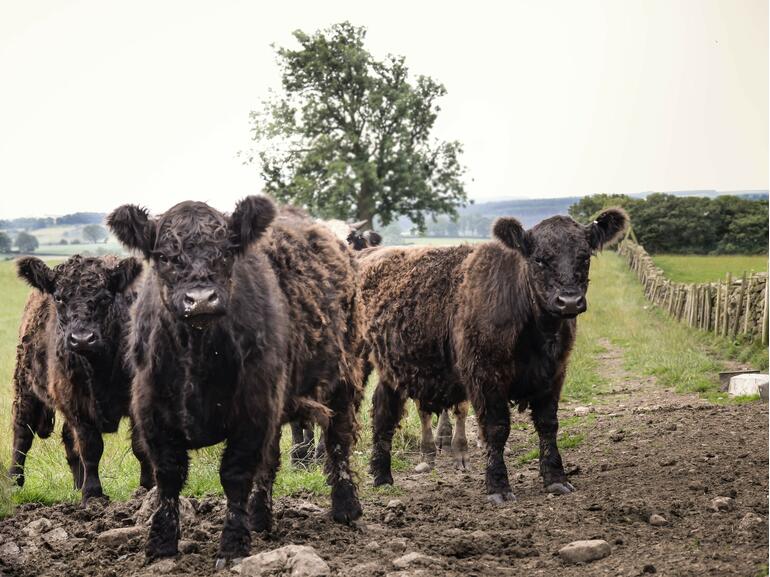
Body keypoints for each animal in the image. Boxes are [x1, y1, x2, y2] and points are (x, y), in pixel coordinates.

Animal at [9, 254, 152, 498]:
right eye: (59, 298)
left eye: (104, 298)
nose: (82, 339)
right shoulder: (76, 402)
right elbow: (90, 447)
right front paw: (93, 493)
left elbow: (140, 446)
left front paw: (146, 488)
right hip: (25, 386)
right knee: (22, 434)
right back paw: (13, 484)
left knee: (67, 438)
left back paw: (77, 485)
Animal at [106, 197, 366, 564]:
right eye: (165, 257)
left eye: (227, 253)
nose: (201, 299)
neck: (198, 352)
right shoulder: (152, 412)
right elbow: (168, 477)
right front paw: (161, 545)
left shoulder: (253, 411)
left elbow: (235, 474)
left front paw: (233, 545)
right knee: (271, 461)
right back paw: (259, 516)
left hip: (343, 376)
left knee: (338, 440)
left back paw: (346, 507)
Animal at [356, 209, 628, 502]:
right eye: (539, 259)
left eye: (584, 256)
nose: (568, 301)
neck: (537, 333)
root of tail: (367, 252)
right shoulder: (485, 374)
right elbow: (496, 428)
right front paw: (498, 486)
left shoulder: (554, 373)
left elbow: (548, 424)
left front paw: (556, 478)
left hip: (392, 370)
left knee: (383, 412)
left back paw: (382, 477)